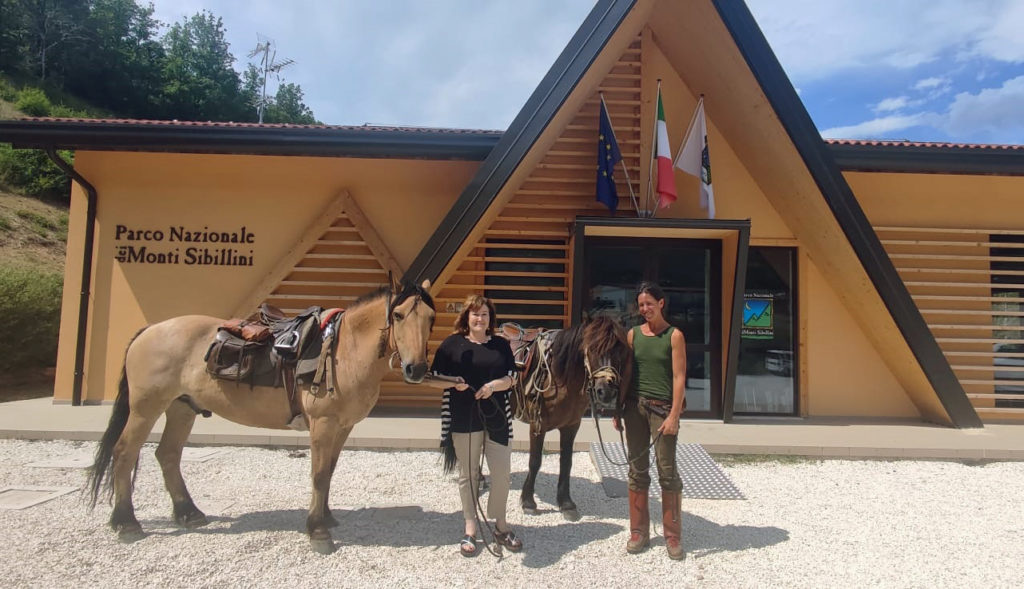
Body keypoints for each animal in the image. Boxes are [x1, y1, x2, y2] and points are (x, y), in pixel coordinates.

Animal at [87, 280, 435, 554]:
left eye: (431, 318)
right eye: (398, 315)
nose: (415, 369)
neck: (344, 350)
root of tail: (151, 329)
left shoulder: (343, 426)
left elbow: (329, 471)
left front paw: (326, 517)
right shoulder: (323, 423)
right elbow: (319, 474)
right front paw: (318, 531)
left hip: (181, 408)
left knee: (168, 454)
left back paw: (189, 513)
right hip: (146, 408)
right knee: (124, 453)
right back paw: (126, 523)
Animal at [505, 315, 633, 521]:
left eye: (620, 350)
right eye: (592, 349)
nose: (606, 392)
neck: (560, 377)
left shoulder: (572, 426)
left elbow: (566, 462)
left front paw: (566, 503)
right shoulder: (537, 425)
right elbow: (535, 461)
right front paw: (528, 502)